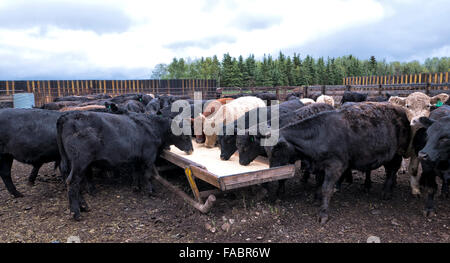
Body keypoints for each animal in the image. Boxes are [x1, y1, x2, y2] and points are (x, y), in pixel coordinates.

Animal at [57, 111, 192, 221]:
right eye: (185, 135)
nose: (191, 150)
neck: (153, 127)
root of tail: (67, 116)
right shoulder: (149, 156)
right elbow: (148, 175)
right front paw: (150, 191)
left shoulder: (136, 158)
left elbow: (136, 172)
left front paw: (136, 187)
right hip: (80, 161)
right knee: (72, 183)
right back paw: (76, 213)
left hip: (71, 162)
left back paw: (83, 206)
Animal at [260, 102, 412, 224]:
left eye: (275, 151)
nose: (270, 173)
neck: (320, 135)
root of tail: (399, 108)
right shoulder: (320, 165)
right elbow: (319, 183)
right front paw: (316, 197)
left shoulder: (335, 166)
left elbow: (326, 188)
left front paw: (323, 213)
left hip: (398, 152)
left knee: (392, 170)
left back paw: (386, 192)